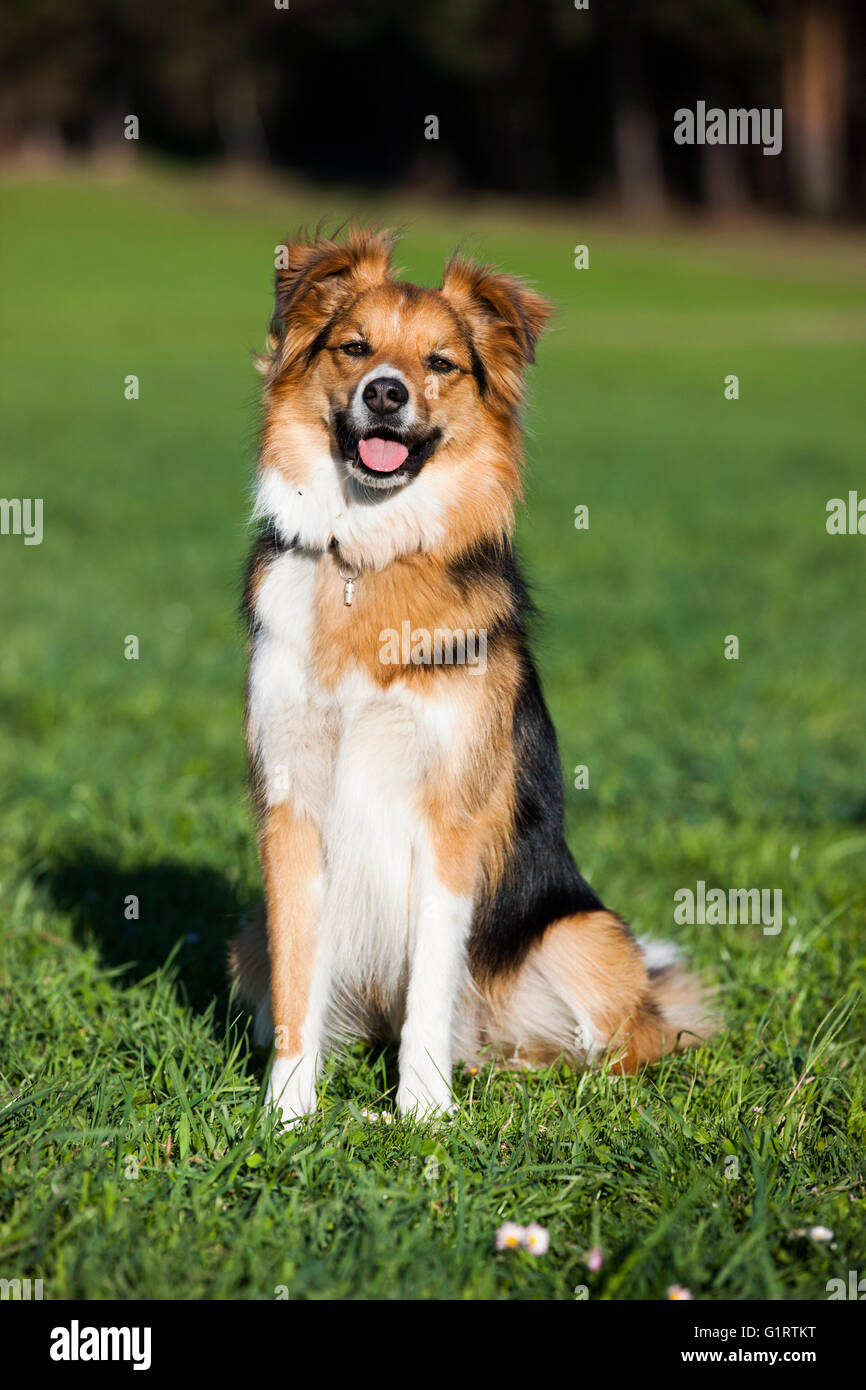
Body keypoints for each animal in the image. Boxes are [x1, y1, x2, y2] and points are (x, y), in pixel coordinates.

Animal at [229, 222, 711, 1123]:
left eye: (441, 363)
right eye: (355, 348)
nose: (386, 395)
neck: (372, 558)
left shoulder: (450, 814)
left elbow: (431, 985)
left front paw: (422, 1114)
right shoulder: (292, 805)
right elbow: (297, 986)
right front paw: (287, 1116)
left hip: (586, 936)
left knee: (632, 1041)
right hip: (246, 935)